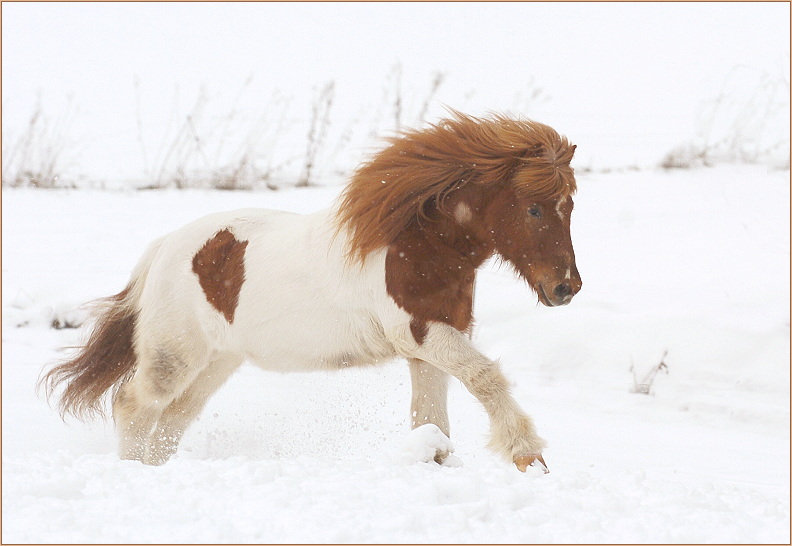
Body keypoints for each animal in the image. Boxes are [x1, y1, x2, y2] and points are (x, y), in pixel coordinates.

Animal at [38, 109, 580, 468]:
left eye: (571, 204)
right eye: (534, 208)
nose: (566, 287)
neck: (413, 247)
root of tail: (164, 247)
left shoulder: (432, 344)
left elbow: (432, 421)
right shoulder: (422, 333)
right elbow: (484, 376)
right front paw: (526, 453)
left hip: (217, 361)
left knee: (174, 417)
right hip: (174, 354)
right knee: (136, 405)